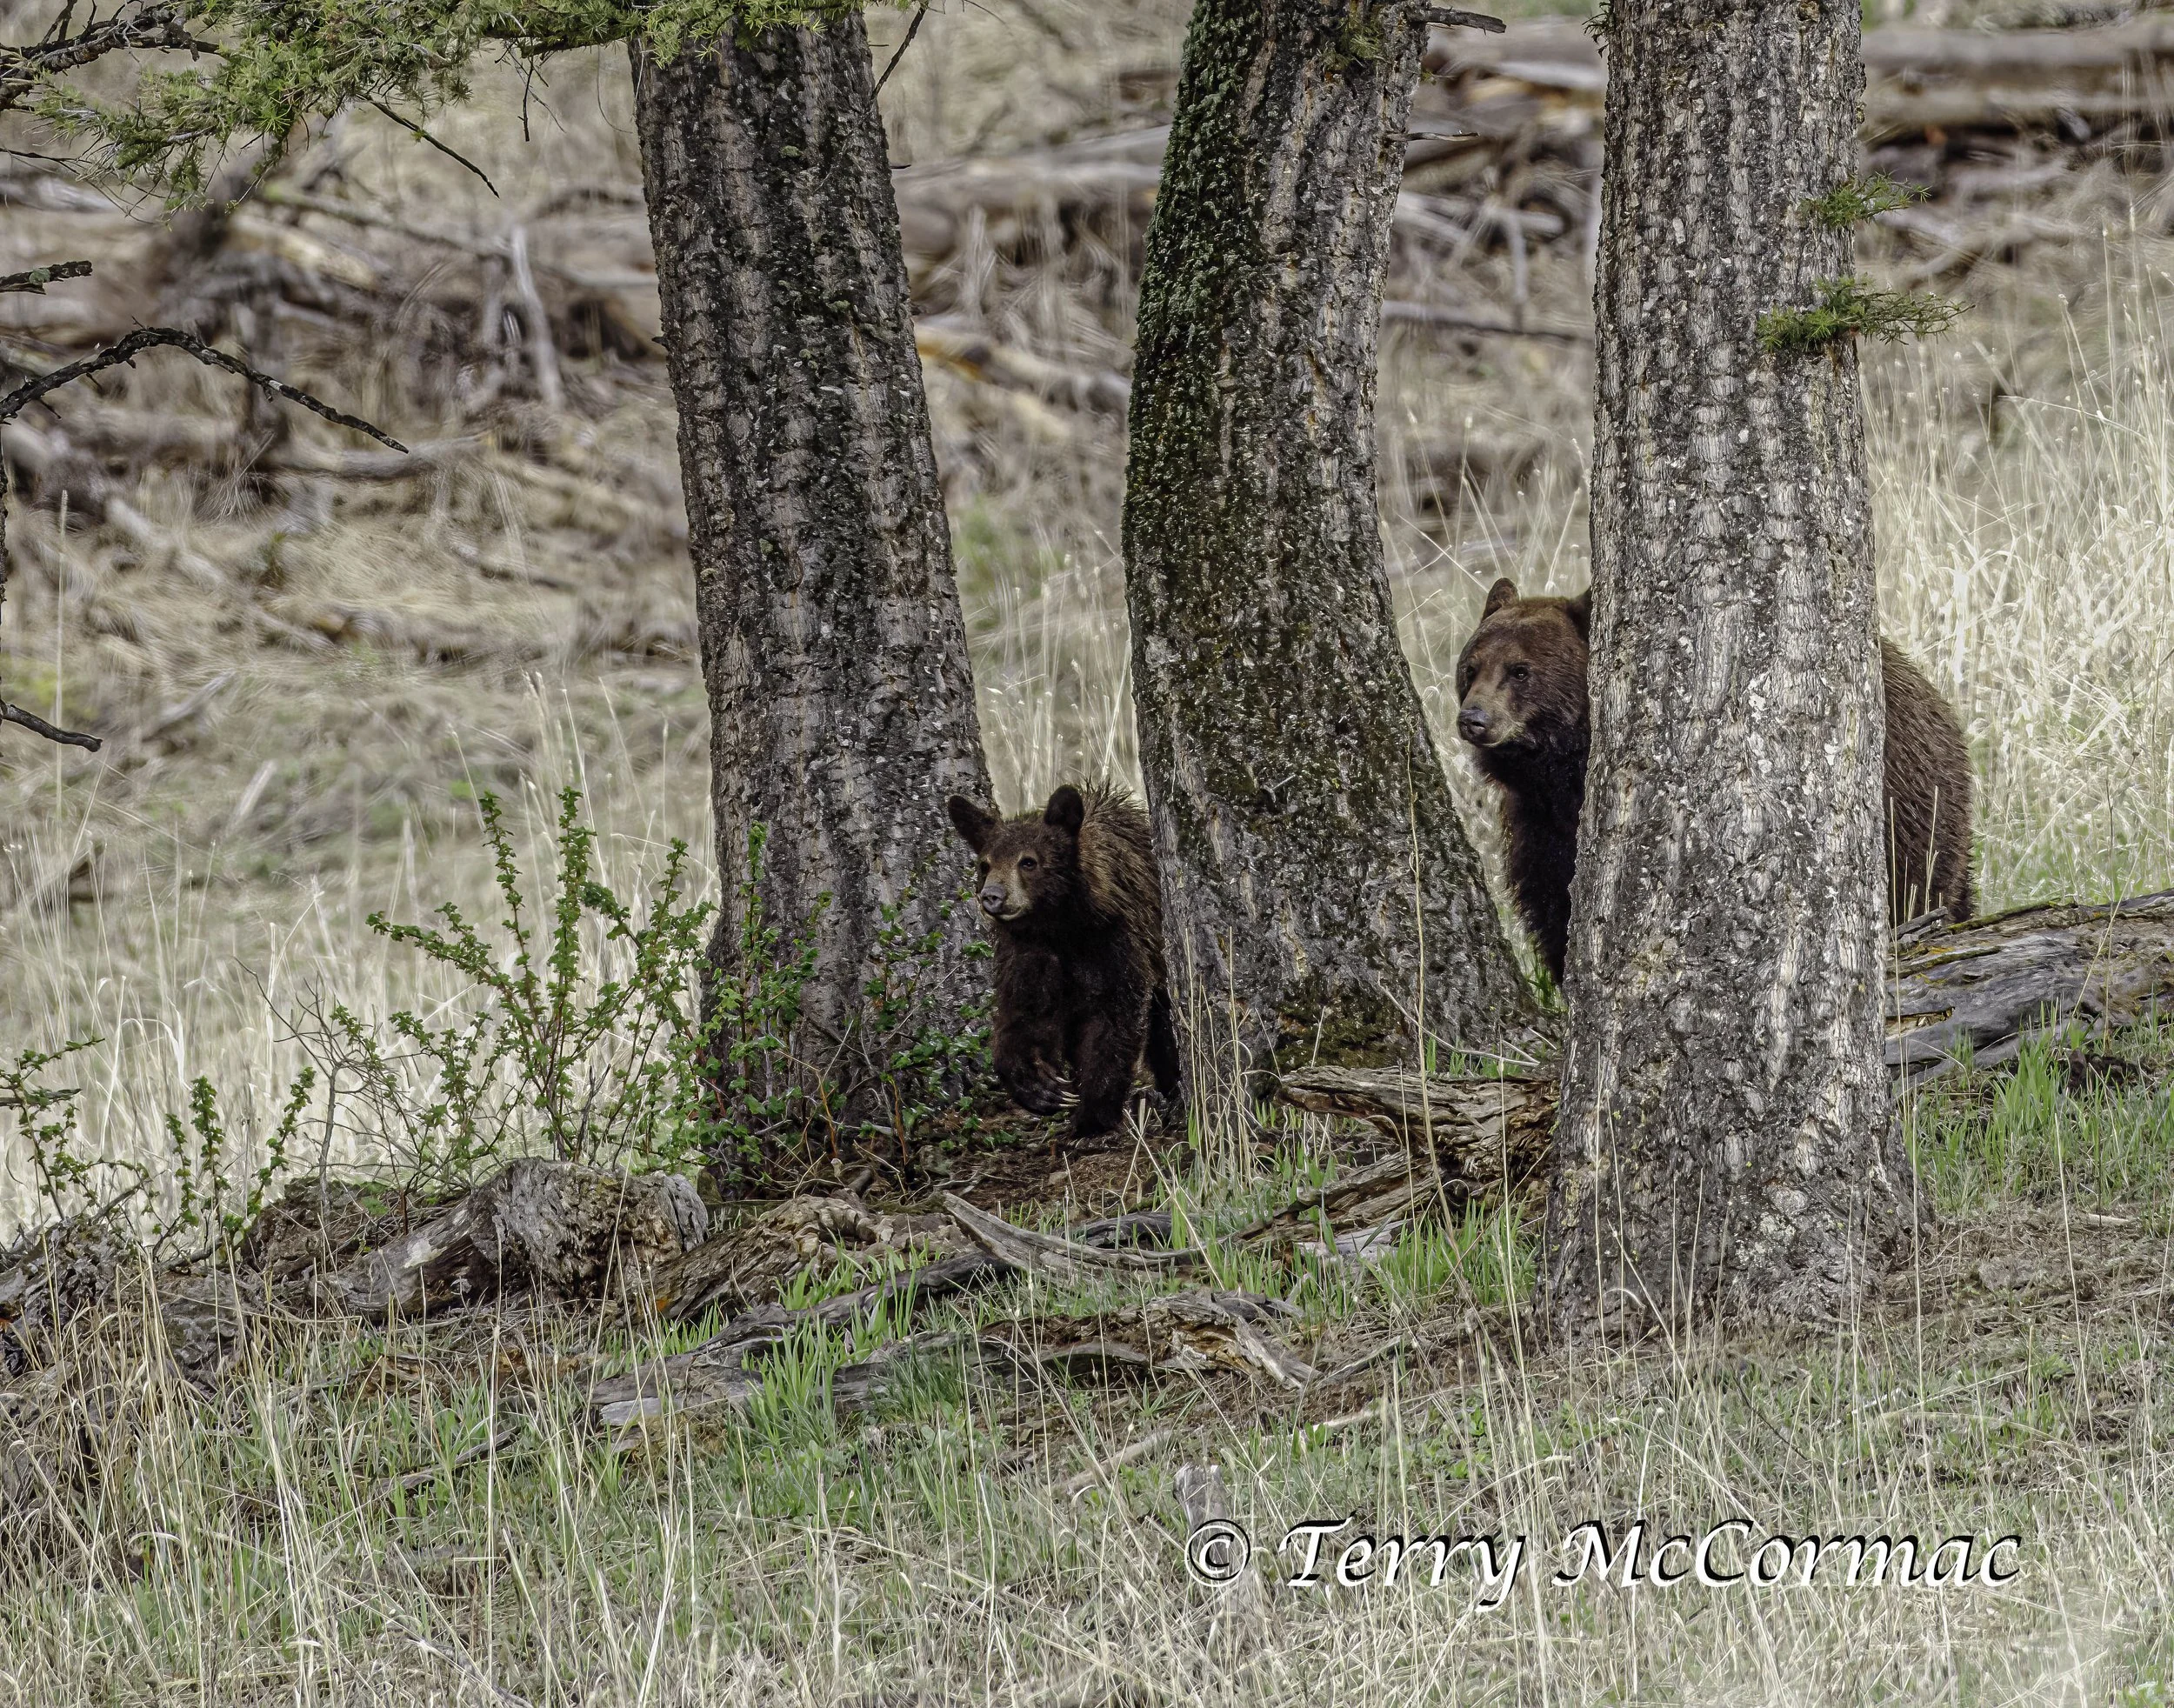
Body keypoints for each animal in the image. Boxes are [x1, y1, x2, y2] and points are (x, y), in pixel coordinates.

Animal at [944, 782, 1181, 1139]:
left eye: (1028, 862)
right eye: (985, 864)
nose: (992, 896)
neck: (1063, 925)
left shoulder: (1120, 939)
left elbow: (1117, 1015)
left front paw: (1093, 1114)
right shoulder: (1029, 953)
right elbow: (1026, 1012)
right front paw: (1039, 1084)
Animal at [1453, 577, 1975, 983]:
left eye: (1521, 670)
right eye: (1470, 667)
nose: (1473, 719)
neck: (1562, 775)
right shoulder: (1539, 826)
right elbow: (1550, 903)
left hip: (1912, 813)